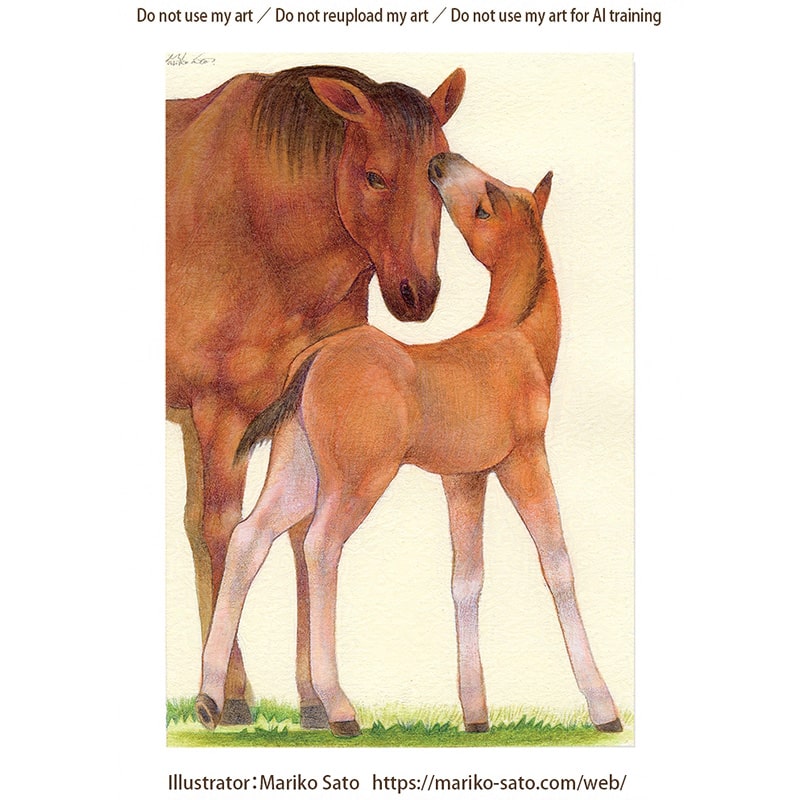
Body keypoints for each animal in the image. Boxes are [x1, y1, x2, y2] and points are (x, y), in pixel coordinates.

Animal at [166, 65, 466, 726]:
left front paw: (312, 699)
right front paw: (229, 693)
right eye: (374, 176)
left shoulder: (295, 413)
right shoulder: (219, 411)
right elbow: (224, 527)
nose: (418, 293)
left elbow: (300, 534)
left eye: (438, 177)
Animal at [195, 152, 622, 737]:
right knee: (319, 545)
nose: (440, 163)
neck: (517, 340)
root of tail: (314, 358)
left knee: (247, 538)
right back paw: (339, 708)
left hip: (296, 474)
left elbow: (466, 579)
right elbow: (556, 564)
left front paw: (475, 714)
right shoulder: (525, 458)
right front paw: (603, 706)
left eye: (487, 202)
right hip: (358, 481)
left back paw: (210, 700)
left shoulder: (464, 478)